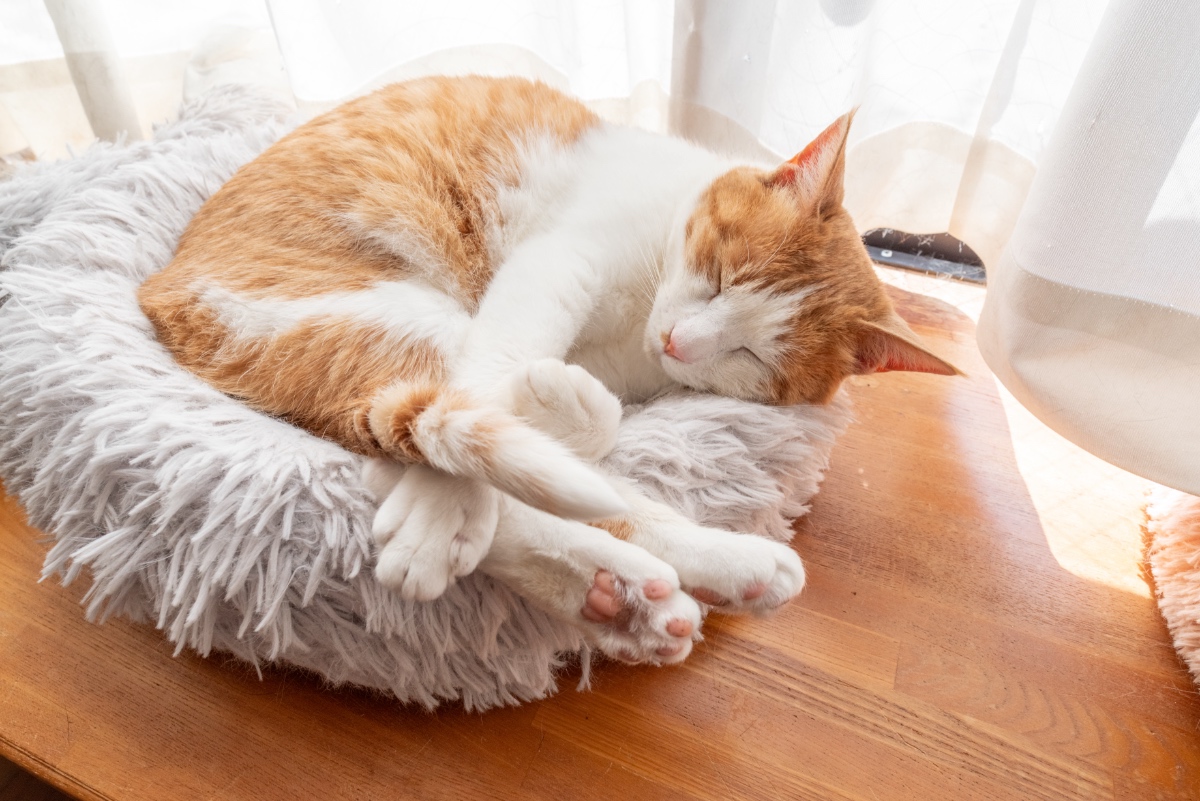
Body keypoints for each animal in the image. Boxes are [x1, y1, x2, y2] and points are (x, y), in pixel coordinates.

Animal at [136, 73, 955, 661]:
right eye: (721, 274)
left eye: (753, 352)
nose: (683, 342)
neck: (639, 320)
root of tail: (159, 291)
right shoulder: (559, 266)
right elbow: (490, 397)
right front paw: (445, 506)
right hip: (401, 320)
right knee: (484, 451)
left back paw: (630, 596)